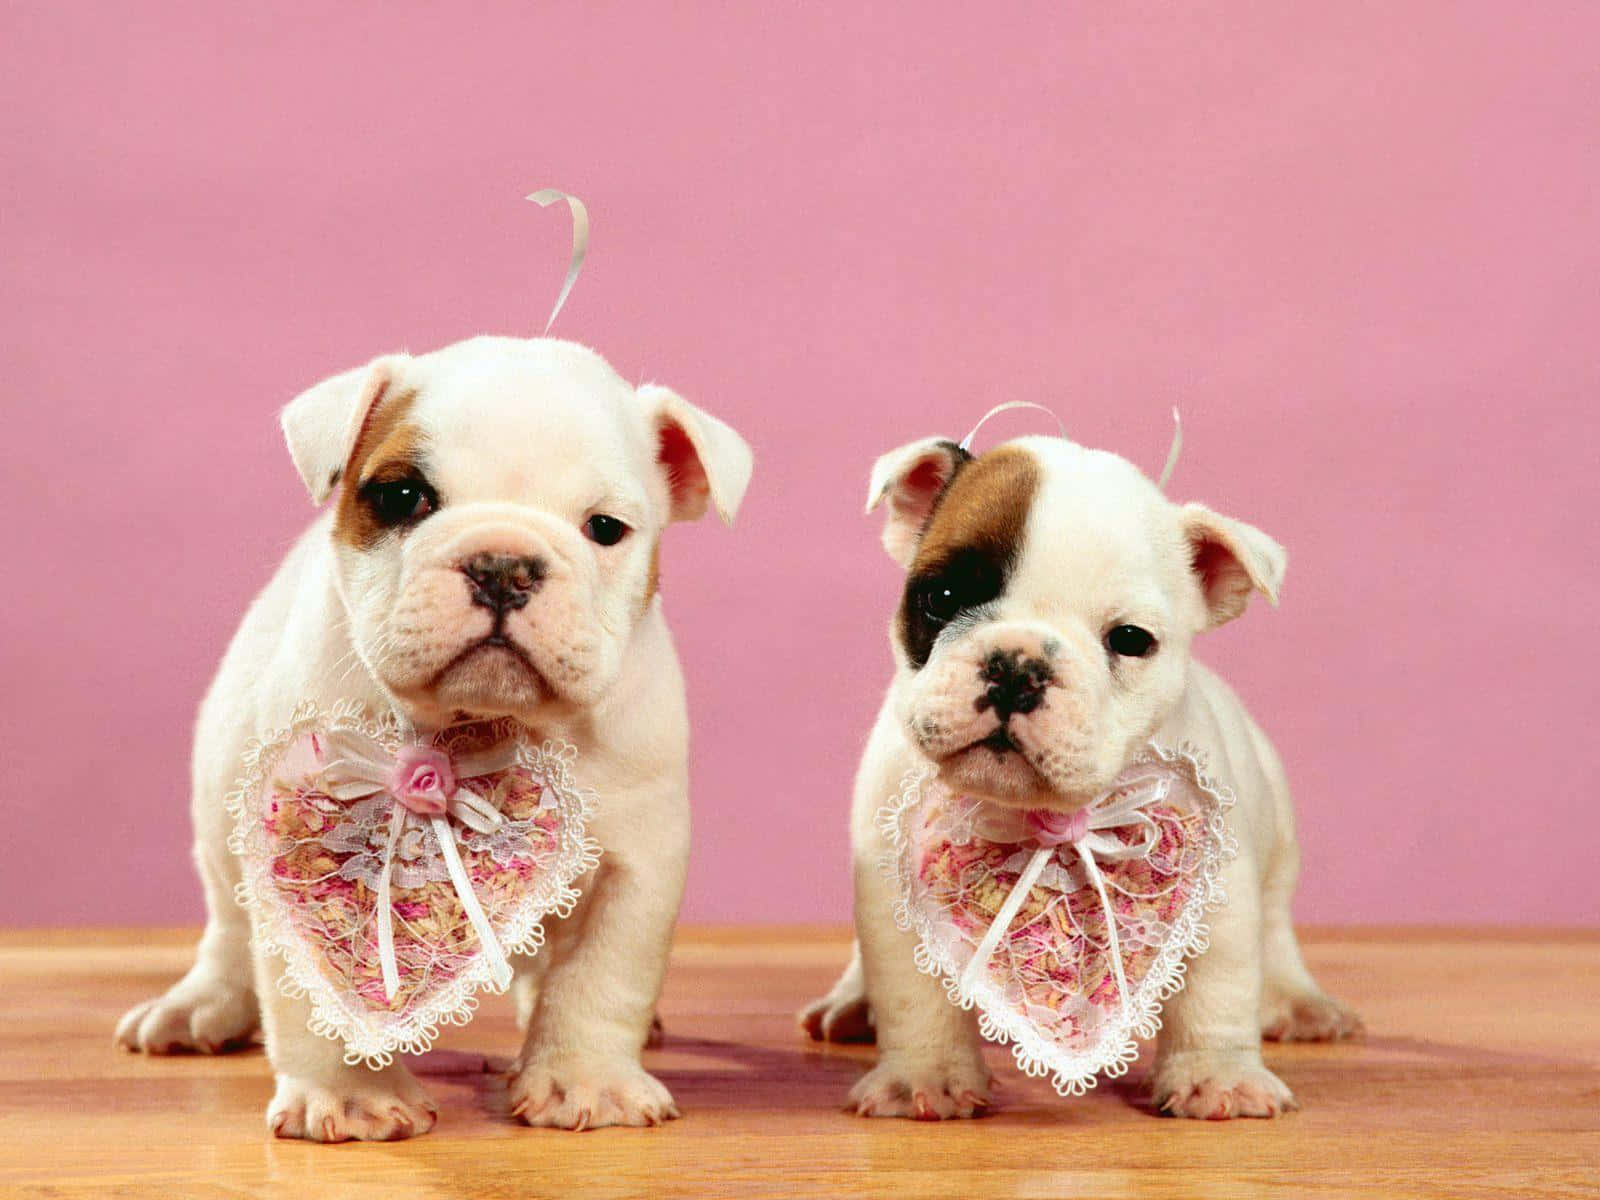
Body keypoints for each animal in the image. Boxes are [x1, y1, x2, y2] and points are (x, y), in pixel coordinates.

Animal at [118, 334, 755, 1139]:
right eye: (401, 498)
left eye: (606, 529)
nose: (504, 565)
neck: (476, 721)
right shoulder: (296, 836)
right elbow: (316, 985)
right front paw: (351, 1095)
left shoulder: (636, 861)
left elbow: (601, 977)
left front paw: (584, 1080)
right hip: (219, 802)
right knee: (229, 930)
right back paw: (199, 1005)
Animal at [800, 435, 1363, 1126]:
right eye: (942, 597)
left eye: (1130, 639)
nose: (1017, 668)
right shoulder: (896, 879)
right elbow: (914, 993)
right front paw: (925, 1077)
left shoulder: (1219, 887)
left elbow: (1218, 987)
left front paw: (1217, 1075)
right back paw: (852, 1002)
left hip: (1278, 842)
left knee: (1277, 928)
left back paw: (1296, 999)